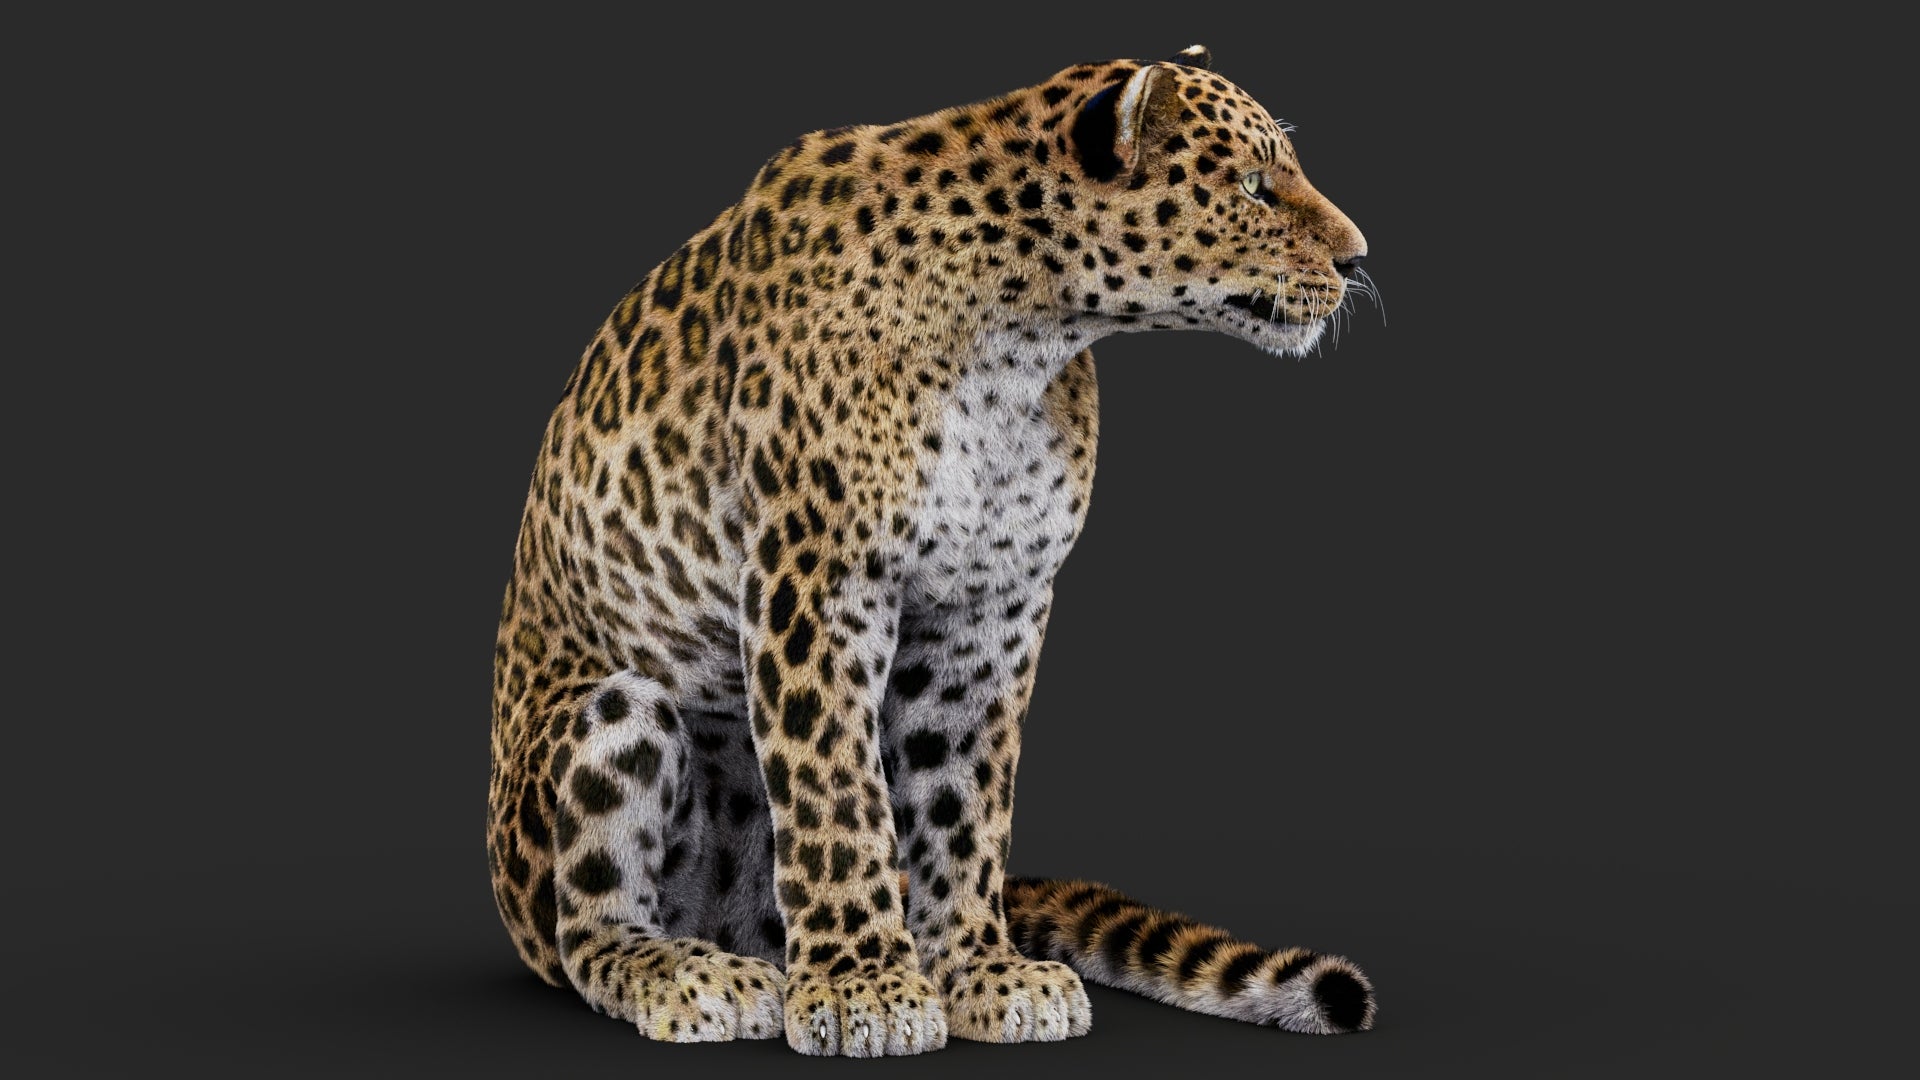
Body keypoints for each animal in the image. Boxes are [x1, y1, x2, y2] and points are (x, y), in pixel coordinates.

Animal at [488, 44, 1377, 1056]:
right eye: (1254, 185)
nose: (1359, 258)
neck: (1021, 336)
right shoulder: (818, 578)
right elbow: (836, 788)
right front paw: (862, 986)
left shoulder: (988, 606)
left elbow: (961, 798)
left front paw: (978, 972)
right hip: (614, 714)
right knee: (584, 931)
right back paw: (692, 974)